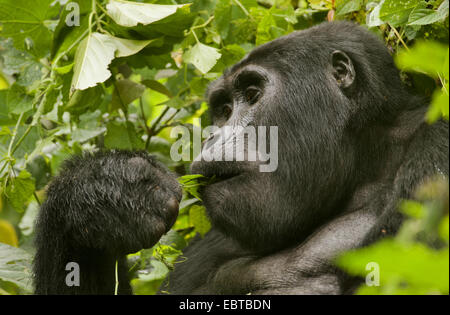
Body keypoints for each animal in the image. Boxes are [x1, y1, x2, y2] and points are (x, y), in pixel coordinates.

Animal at [33, 22, 448, 296]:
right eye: (222, 110)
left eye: (251, 94)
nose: (212, 135)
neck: (366, 165)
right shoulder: (210, 245)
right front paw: (97, 195)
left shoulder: (437, 152)